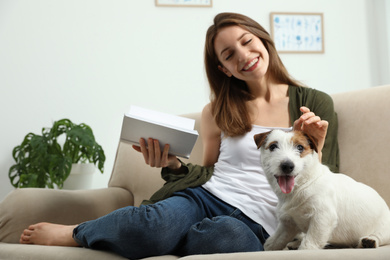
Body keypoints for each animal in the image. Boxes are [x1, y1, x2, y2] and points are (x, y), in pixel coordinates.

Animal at [253, 130, 390, 250]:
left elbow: (309, 243)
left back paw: (369, 241)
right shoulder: (288, 225)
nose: (287, 166)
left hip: (384, 230)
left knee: (378, 236)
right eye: (273, 146)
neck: (302, 185)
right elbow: (273, 242)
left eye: (300, 147)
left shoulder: (323, 217)